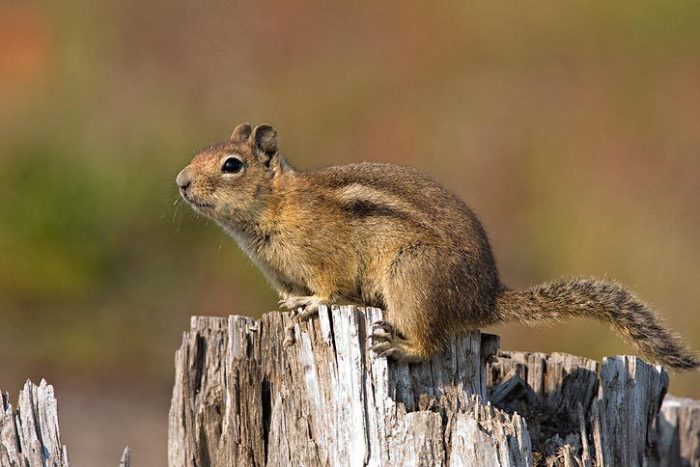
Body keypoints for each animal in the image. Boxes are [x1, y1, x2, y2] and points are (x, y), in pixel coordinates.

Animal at [176, 122, 700, 372]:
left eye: (231, 165)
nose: (180, 182)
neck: (278, 205)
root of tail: (485, 298)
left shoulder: (327, 257)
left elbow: (331, 288)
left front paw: (311, 302)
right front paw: (288, 304)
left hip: (413, 275)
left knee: (433, 342)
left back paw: (401, 347)